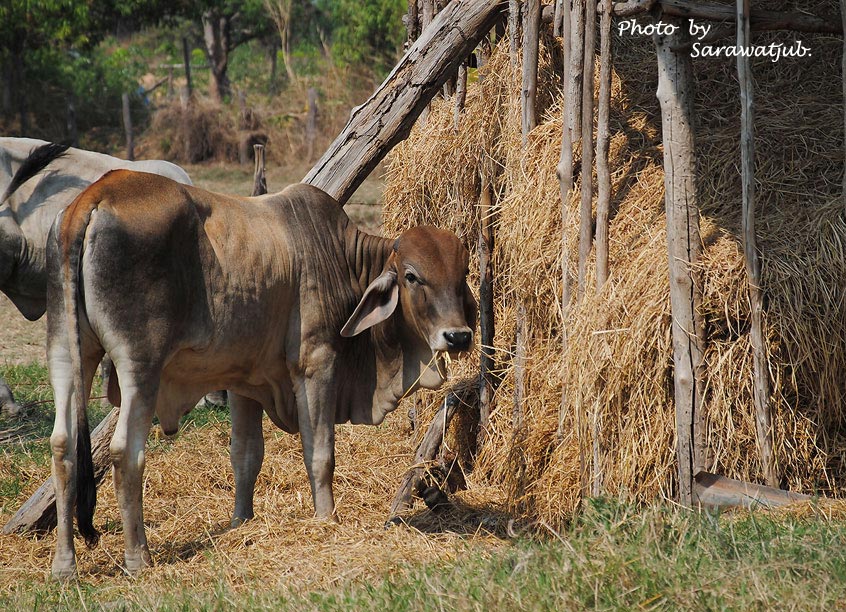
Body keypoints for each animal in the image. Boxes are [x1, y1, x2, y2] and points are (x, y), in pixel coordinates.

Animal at [46, 171, 476, 580]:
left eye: (464, 273)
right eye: (411, 276)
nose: (458, 336)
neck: (340, 255)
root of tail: (96, 195)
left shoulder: (243, 383)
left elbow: (245, 455)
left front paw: (242, 522)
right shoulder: (316, 363)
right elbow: (320, 452)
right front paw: (327, 519)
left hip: (66, 355)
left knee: (63, 445)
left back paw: (64, 566)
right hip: (139, 366)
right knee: (125, 453)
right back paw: (138, 558)